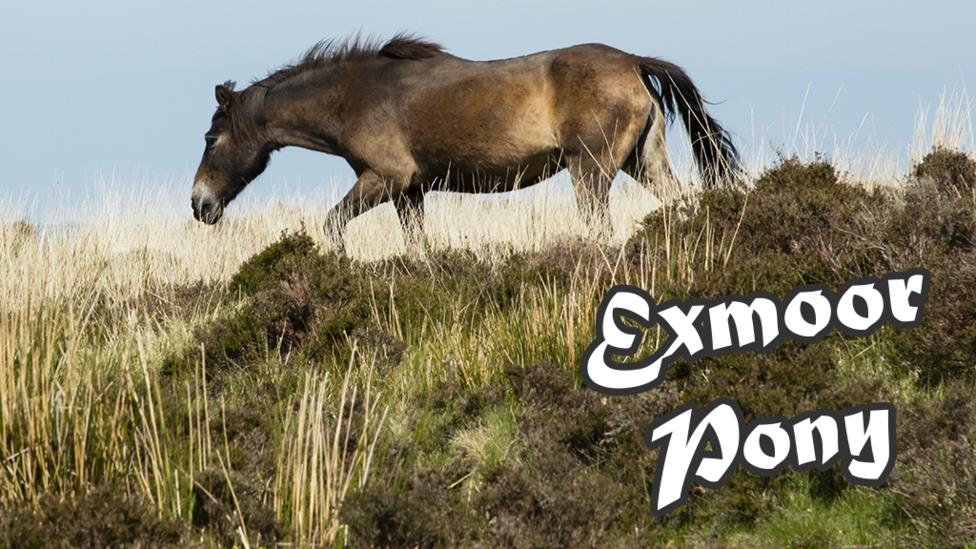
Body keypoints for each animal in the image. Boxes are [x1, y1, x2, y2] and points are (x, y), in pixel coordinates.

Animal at [191, 34, 739, 240]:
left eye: (211, 140)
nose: (200, 204)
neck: (356, 95)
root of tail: (632, 62)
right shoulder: (409, 192)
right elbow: (418, 244)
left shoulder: (385, 179)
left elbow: (332, 225)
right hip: (643, 162)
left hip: (592, 170)